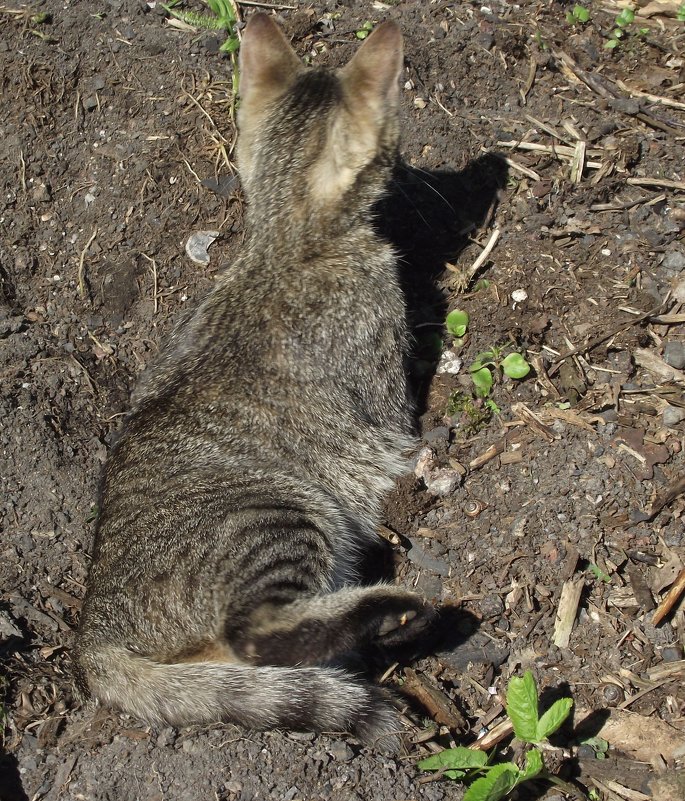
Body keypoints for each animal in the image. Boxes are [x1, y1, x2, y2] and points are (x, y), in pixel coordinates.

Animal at [73, 12, 432, 748]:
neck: (287, 235)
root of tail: (93, 634)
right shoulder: (384, 389)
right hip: (283, 513)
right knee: (255, 639)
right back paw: (389, 612)